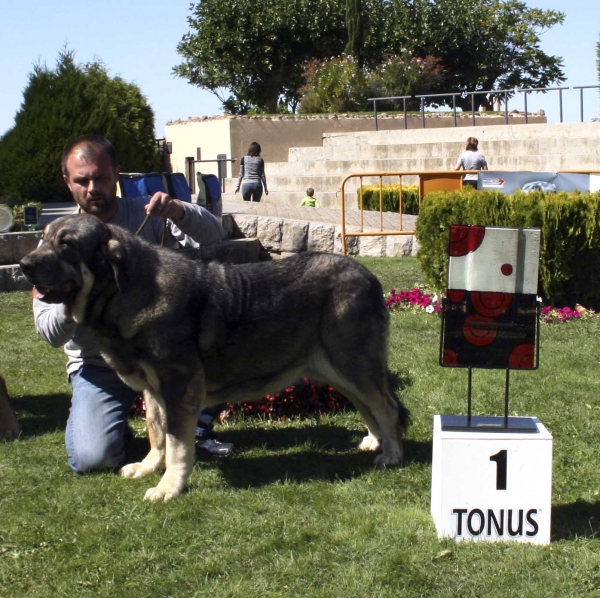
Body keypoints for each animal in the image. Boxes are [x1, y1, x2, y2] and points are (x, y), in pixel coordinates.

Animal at [21, 216, 410, 502]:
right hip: (338, 370)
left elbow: (177, 444)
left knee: (386, 406)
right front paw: (148, 467)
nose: (24, 264)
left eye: (66, 244)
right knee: (368, 406)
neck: (123, 290)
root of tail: (369, 277)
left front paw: (168, 487)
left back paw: (392, 454)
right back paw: (375, 440)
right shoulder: (153, 389)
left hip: (352, 363)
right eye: (43, 239)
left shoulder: (179, 386)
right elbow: (157, 433)